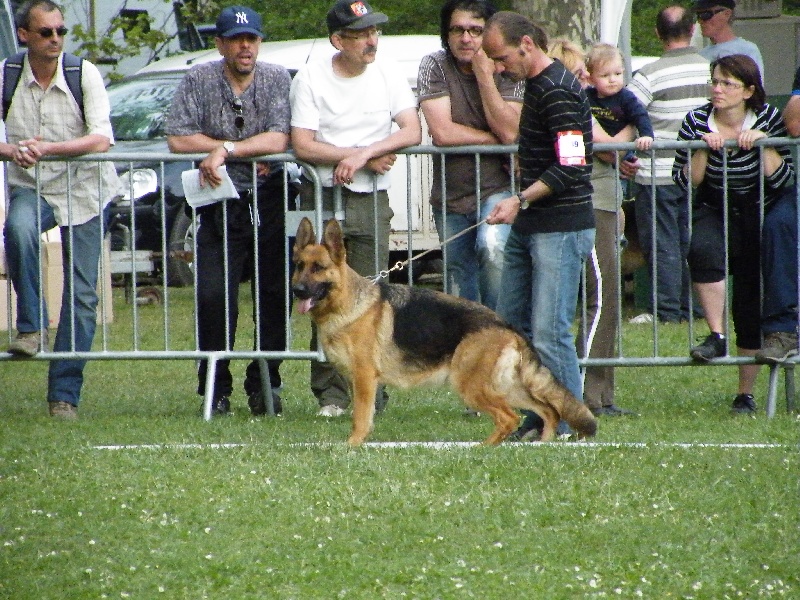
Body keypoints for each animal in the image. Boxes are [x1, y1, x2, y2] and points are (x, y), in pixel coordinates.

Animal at [290, 217, 596, 446]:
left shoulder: (365, 379)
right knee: (547, 410)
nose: (297, 290)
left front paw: (352, 445)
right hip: (506, 386)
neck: (347, 304)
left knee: (510, 418)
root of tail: (504, 324)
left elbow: (361, 417)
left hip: (471, 386)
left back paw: (482, 449)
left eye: (319, 268)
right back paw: (541, 444)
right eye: (300, 266)